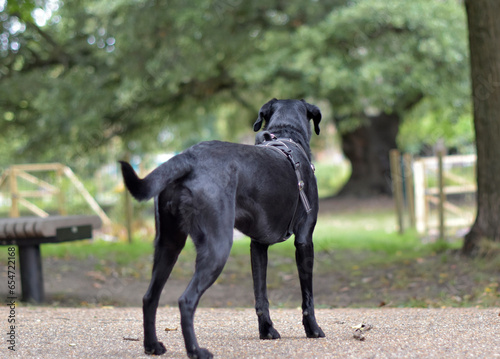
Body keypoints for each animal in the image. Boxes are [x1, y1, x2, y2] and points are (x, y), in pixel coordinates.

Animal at [120, 98, 324, 359]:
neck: (287, 136)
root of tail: (188, 157)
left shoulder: (258, 245)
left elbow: (261, 294)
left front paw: (267, 330)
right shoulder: (305, 239)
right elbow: (307, 295)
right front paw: (313, 329)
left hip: (168, 244)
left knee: (149, 297)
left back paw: (152, 346)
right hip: (217, 247)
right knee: (186, 300)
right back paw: (196, 351)